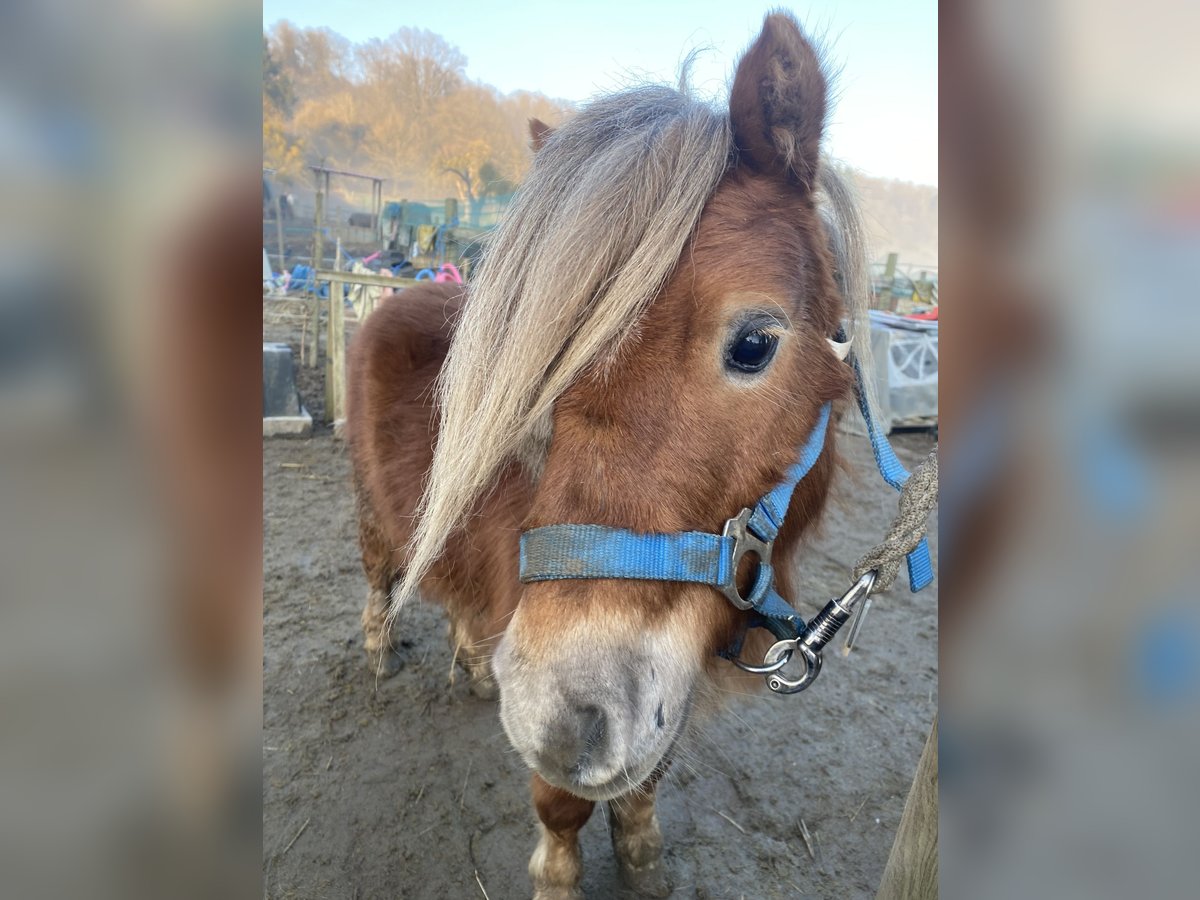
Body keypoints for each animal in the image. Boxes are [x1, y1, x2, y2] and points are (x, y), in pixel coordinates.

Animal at [345, 15, 873, 900]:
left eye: (755, 343)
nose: (560, 710)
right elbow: (561, 804)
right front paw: (561, 876)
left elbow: (643, 782)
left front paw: (643, 856)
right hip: (375, 514)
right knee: (383, 579)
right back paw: (383, 651)